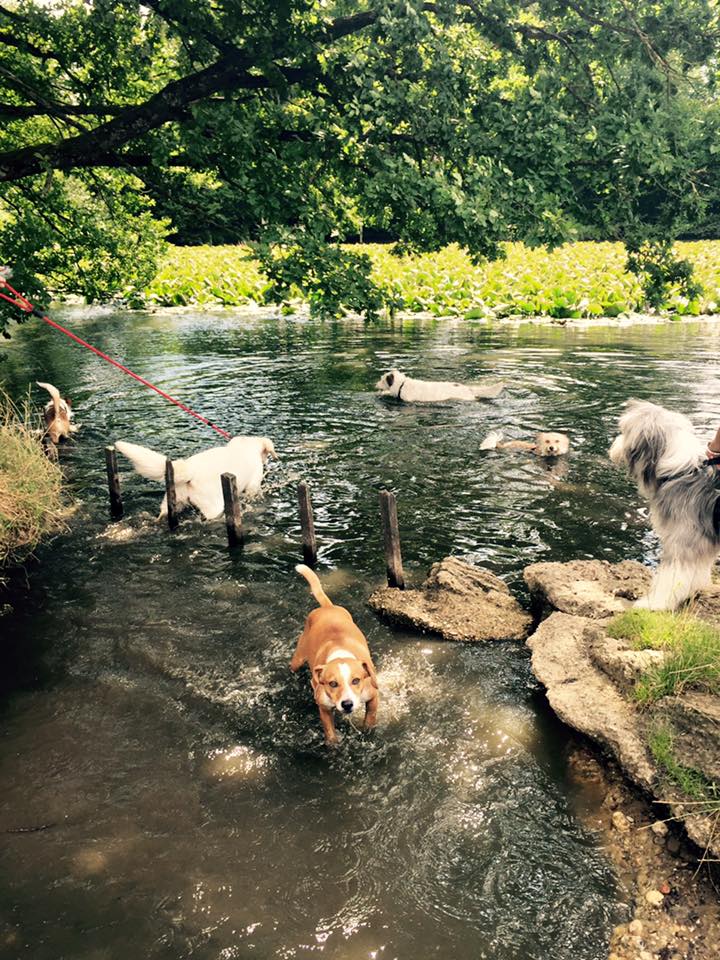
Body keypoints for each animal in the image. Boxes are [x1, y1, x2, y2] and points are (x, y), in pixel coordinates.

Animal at [115, 436, 278, 520]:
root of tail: (190, 469)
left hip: (172, 502)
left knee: (162, 515)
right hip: (213, 507)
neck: (245, 447)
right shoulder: (253, 487)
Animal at [292, 568, 382, 748]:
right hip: (297, 659)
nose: (347, 704)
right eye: (333, 683)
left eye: (356, 680)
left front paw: (367, 731)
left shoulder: (372, 695)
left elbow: (370, 717)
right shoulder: (324, 706)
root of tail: (328, 607)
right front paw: (333, 745)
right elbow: (329, 730)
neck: (340, 653)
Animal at [608, 400, 720, 612]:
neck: (680, 471)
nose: (613, 444)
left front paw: (654, 604)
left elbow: (671, 578)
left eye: (624, 431)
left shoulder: (682, 542)